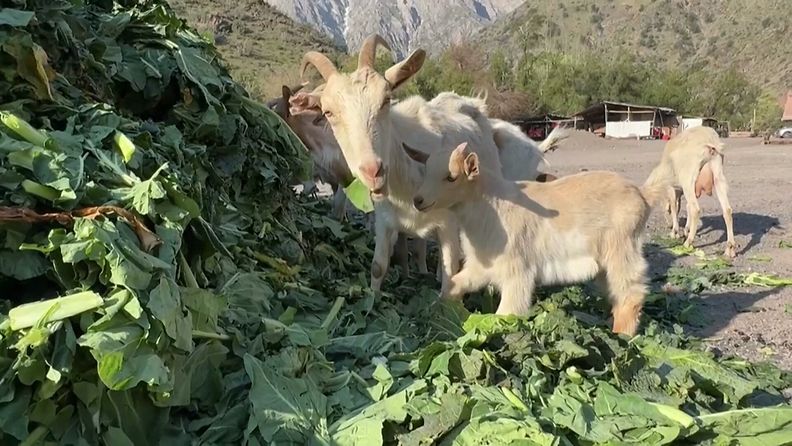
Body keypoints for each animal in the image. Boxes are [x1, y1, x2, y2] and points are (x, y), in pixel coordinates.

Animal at [402, 142, 668, 334]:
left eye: (451, 177)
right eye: (425, 171)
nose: (418, 200)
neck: (492, 204)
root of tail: (643, 195)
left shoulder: (517, 270)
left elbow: (508, 311)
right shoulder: (482, 265)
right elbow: (455, 284)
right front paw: (447, 311)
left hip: (621, 248)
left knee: (631, 293)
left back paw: (622, 336)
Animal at [644, 125, 736, 258]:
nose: (668, 226)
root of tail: (709, 138)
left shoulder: (672, 188)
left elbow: (674, 207)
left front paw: (675, 231)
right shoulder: (689, 189)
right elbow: (684, 207)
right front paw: (686, 229)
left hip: (688, 176)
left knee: (695, 209)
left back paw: (688, 243)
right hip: (718, 174)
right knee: (727, 210)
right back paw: (730, 248)